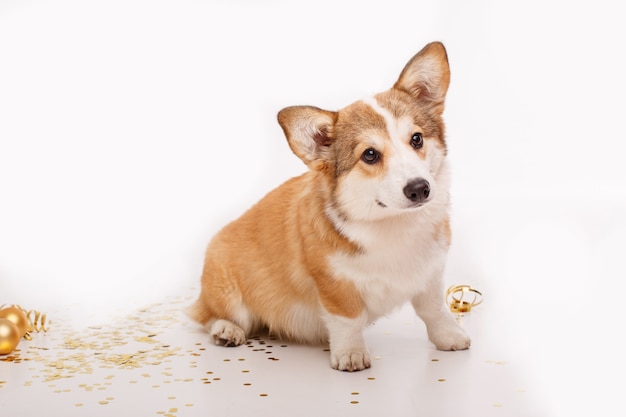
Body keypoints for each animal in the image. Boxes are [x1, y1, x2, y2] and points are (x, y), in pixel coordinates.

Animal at [190, 40, 468, 368]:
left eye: (416, 139)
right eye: (370, 155)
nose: (419, 189)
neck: (393, 224)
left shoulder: (430, 274)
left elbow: (434, 310)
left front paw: (449, 337)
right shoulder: (333, 284)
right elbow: (348, 318)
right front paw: (351, 353)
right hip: (226, 291)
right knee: (209, 315)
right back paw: (226, 330)